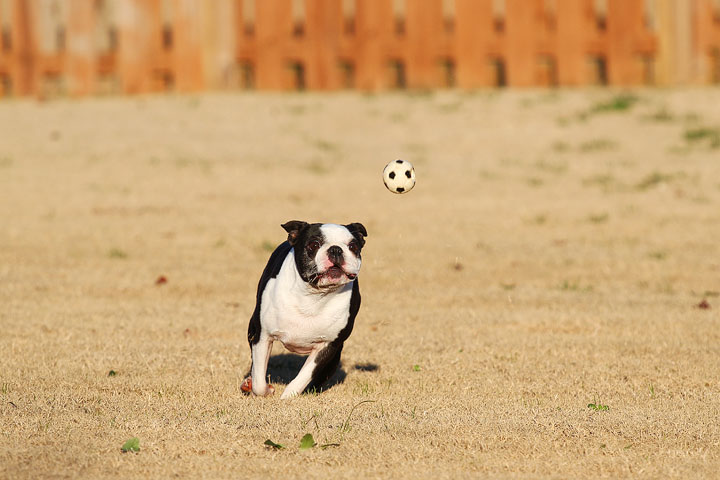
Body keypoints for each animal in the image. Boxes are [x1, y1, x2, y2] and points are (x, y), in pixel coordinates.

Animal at [242, 221, 368, 398]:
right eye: (314, 245)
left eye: (353, 246)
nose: (336, 249)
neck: (314, 296)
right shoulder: (261, 335)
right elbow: (259, 379)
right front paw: (266, 390)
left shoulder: (328, 346)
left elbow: (304, 376)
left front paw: (287, 397)